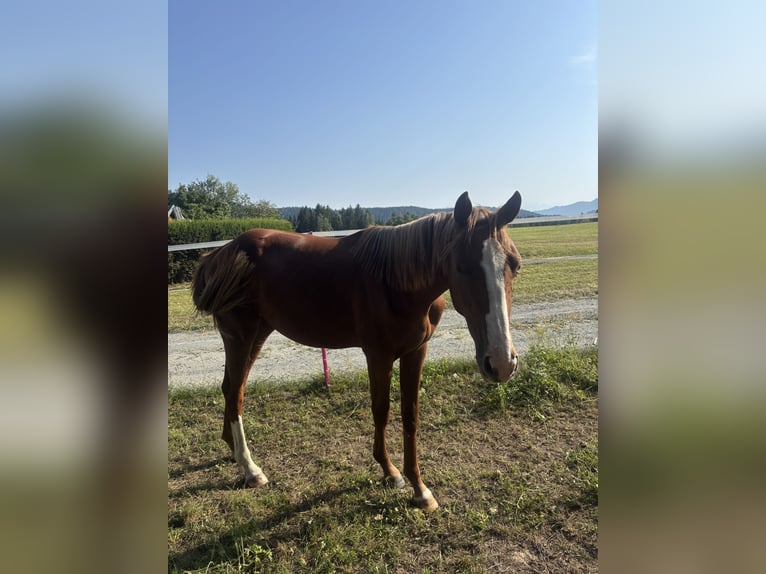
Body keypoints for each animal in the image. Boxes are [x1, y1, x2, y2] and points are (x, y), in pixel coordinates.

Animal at [191, 191, 523, 510]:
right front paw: (391, 472)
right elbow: (381, 411)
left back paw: (233, 452)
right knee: (235, 392)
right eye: (461, 267)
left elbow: (410, 415)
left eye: (515, 265)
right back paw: (251, 469)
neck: (396, 282)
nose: (501, 363)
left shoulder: (416, 352)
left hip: (257, 334)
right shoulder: (378, 355)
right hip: (240, 336)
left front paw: (420, 490)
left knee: (231, 388)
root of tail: (220, 253)